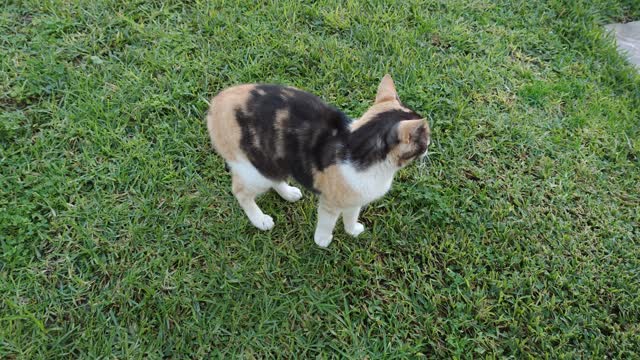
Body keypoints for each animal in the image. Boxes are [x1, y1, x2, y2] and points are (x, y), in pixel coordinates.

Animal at [208, 74, 432, 246]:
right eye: (425, 137)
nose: (430, 145)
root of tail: (216, 101)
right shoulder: (330, 203)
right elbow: (327, 222)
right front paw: (323, 241)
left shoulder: (356, 198)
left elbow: (352, 214)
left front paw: (352, 230)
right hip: (255, 169)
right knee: (240, 192)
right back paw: (259, 220)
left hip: (274, 158)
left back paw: (288, 193)